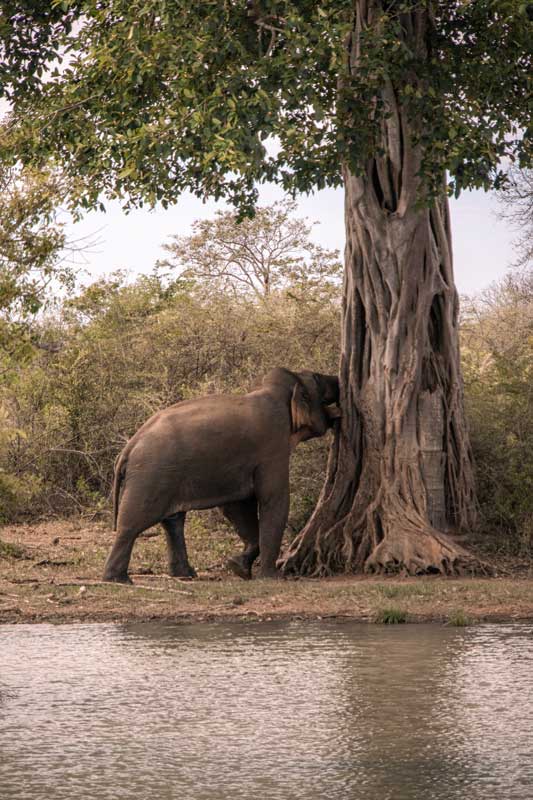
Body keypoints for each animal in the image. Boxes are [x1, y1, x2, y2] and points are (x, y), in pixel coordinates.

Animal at [102, 367, 340, 583]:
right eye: (318, 378)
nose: (337, 380)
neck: (270, 390)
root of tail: (128, 447)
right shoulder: (272, 446)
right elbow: (273, 499)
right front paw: (270, 578)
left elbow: (236, 505)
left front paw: (237, 567)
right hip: (151, 476)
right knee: (134, 523)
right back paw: (118, 580)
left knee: (172, 522)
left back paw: (185, 575)